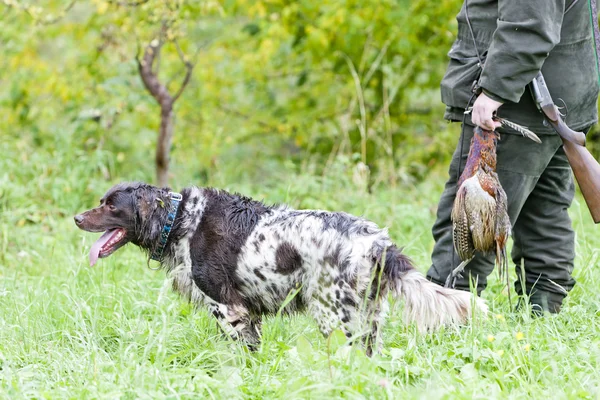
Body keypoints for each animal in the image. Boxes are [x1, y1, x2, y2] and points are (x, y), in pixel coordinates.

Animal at [75, 181, 488, 354]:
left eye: (111, 205)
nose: (77, 218)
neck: (181, 219)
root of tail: (376, 240)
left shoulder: (227, 308)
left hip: (334, 314)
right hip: (366, 315)